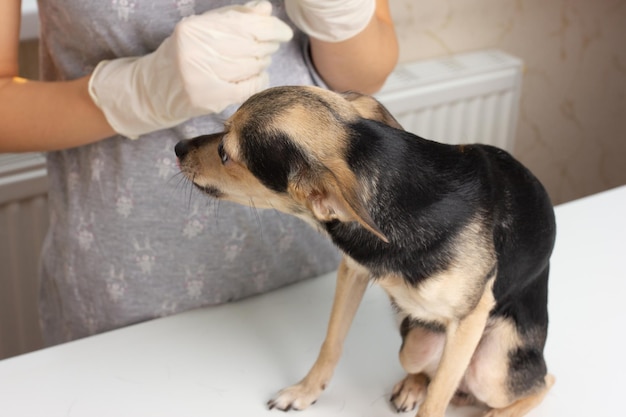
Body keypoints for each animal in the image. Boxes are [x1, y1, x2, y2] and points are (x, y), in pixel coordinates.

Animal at [173, 85, 552, 416]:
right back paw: (413, 385)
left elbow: (436, 400)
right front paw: (304, 392)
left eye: (224, 152)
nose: (177, 147)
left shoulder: (471, 317)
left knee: (541, 382)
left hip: (492, 368)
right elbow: (331, 342)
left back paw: (495, 412)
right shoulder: (352, 272)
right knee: (426, 369)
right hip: (414, 342)